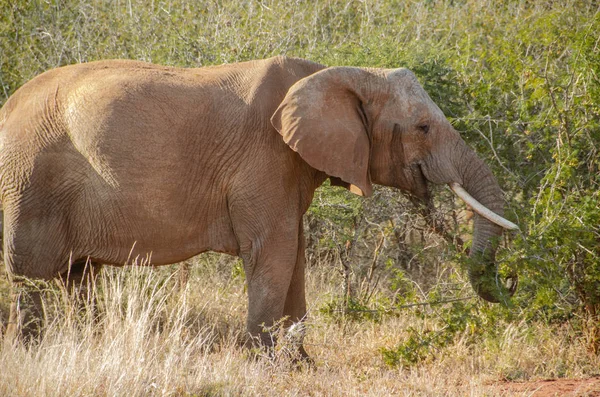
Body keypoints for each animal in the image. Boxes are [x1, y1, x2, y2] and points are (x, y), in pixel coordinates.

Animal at [0, 56, 516, 352]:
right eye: (424, 128)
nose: (509, 286)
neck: (334, 74)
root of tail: (9, 104)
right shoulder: (265, 158)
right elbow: (274, 251)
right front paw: (267, 361)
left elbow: (296, 255)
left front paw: (299, 362)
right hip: (31, 180)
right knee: (31, 276)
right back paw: (32, 350)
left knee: (78, 277)